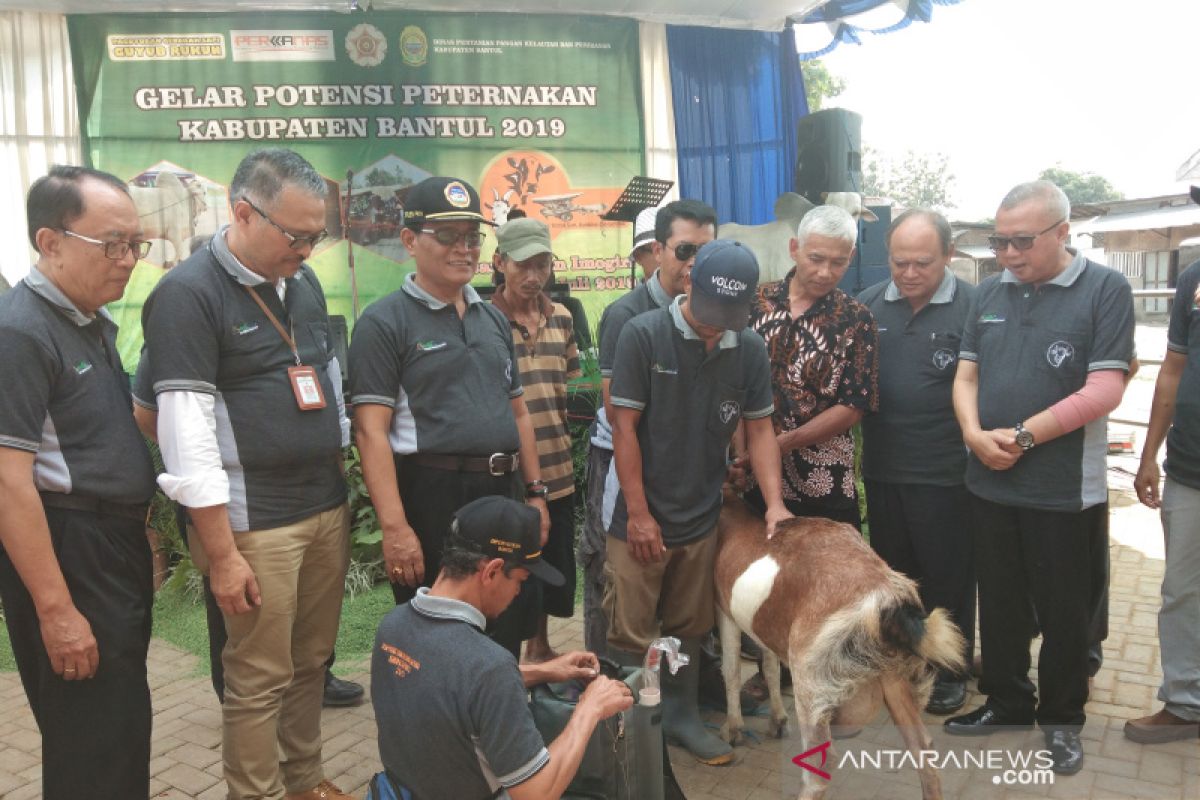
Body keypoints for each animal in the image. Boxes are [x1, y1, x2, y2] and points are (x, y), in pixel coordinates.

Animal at [710, 491, 964, 796]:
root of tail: (885, 603)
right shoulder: (765, 626)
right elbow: (770, 668)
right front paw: (778, 720)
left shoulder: (724, 611)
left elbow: (731, 669)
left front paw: (733, 729)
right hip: (897, 676)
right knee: (923, 748)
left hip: (811, 681)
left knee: (820, 764)